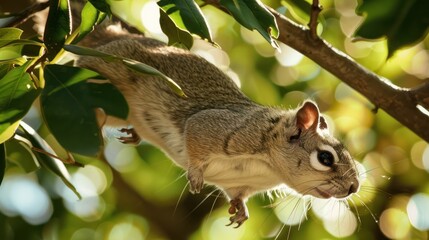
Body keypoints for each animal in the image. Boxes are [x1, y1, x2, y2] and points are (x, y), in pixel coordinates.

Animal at [36, 2, 362, 226]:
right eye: (325, 158)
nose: (353, 188)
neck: (269, 168)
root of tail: (114, 38)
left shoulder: (241, 183)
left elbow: (236, 194)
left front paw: (240, 210)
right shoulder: (219, 129)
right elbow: (195, 139)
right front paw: (195, 175)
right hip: (104, 77)